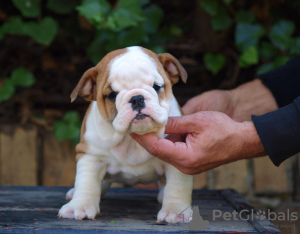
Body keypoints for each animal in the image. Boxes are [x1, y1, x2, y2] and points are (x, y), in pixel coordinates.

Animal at [58, 45, 193, 223]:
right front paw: (79, 206)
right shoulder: (90, 154)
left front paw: (176, 211)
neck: (130, 139)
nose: (136, 98)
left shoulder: (177, 159)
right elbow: (86, 182)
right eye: (112, 95)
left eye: (157, 86)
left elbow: (177, 186)